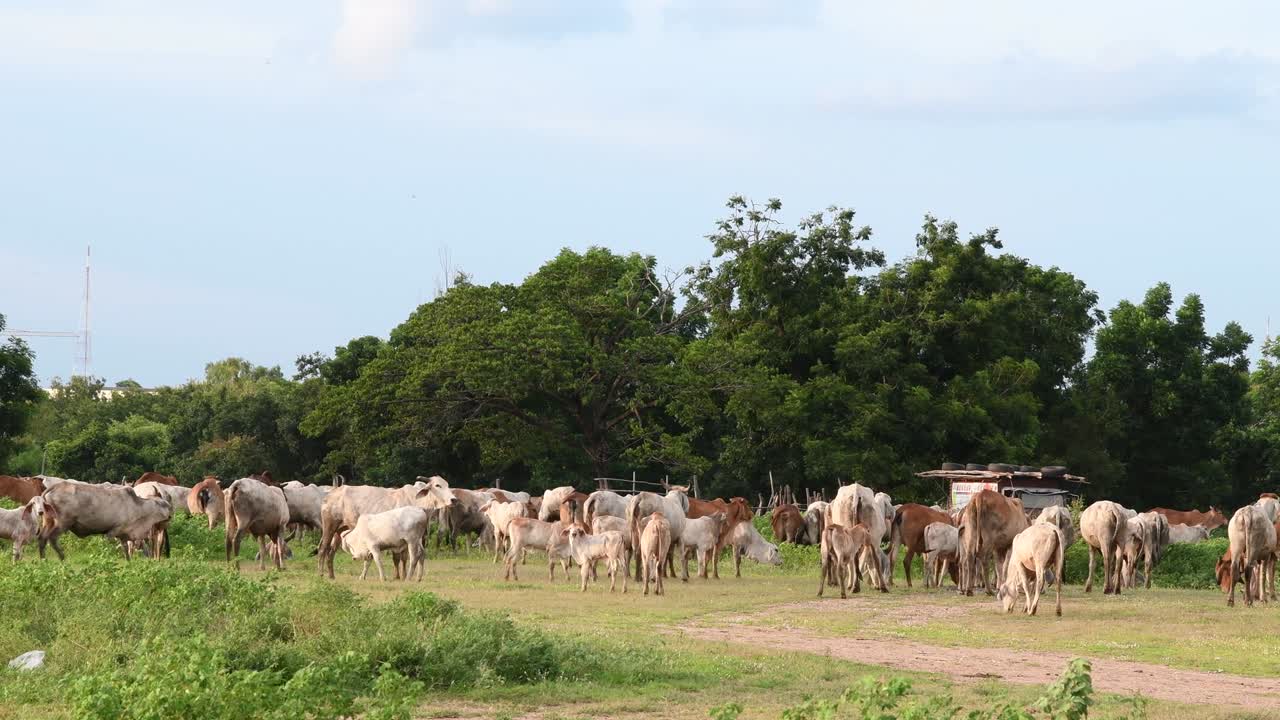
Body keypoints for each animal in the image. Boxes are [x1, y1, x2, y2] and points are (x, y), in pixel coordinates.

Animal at [39, 483, 170, 561]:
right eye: (162, 504)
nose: (170, 513)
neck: (138, 507)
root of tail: (55, 486)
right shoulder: (113, 531)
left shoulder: (125, 534)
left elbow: (131, 548)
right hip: (63, 523)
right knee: (52, 538)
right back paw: (62, 557)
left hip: (48, 521)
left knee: (42, 537)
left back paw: (43, 559)